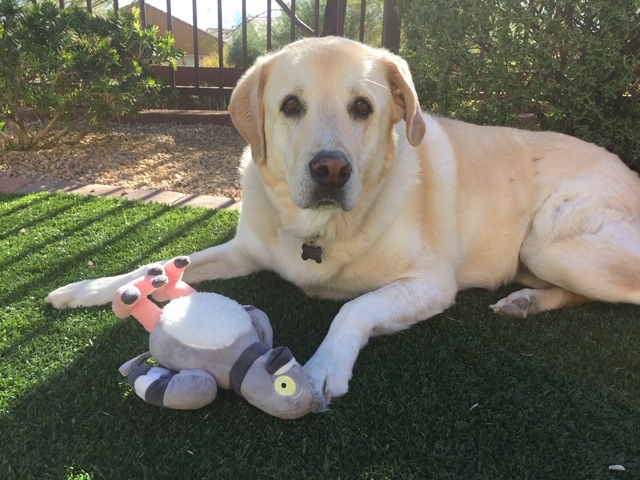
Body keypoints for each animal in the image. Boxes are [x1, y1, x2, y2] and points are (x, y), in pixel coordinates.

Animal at [47, 36, 640, 399]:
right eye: (290, 105)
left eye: (362, 108)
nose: (331, 169)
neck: (319, 230)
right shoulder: (243, 250)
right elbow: (151, 267)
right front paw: (89, 289)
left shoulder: (431, 284)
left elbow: (354, 308)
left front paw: (322, 367)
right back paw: (526, 301)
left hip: (552, 242)